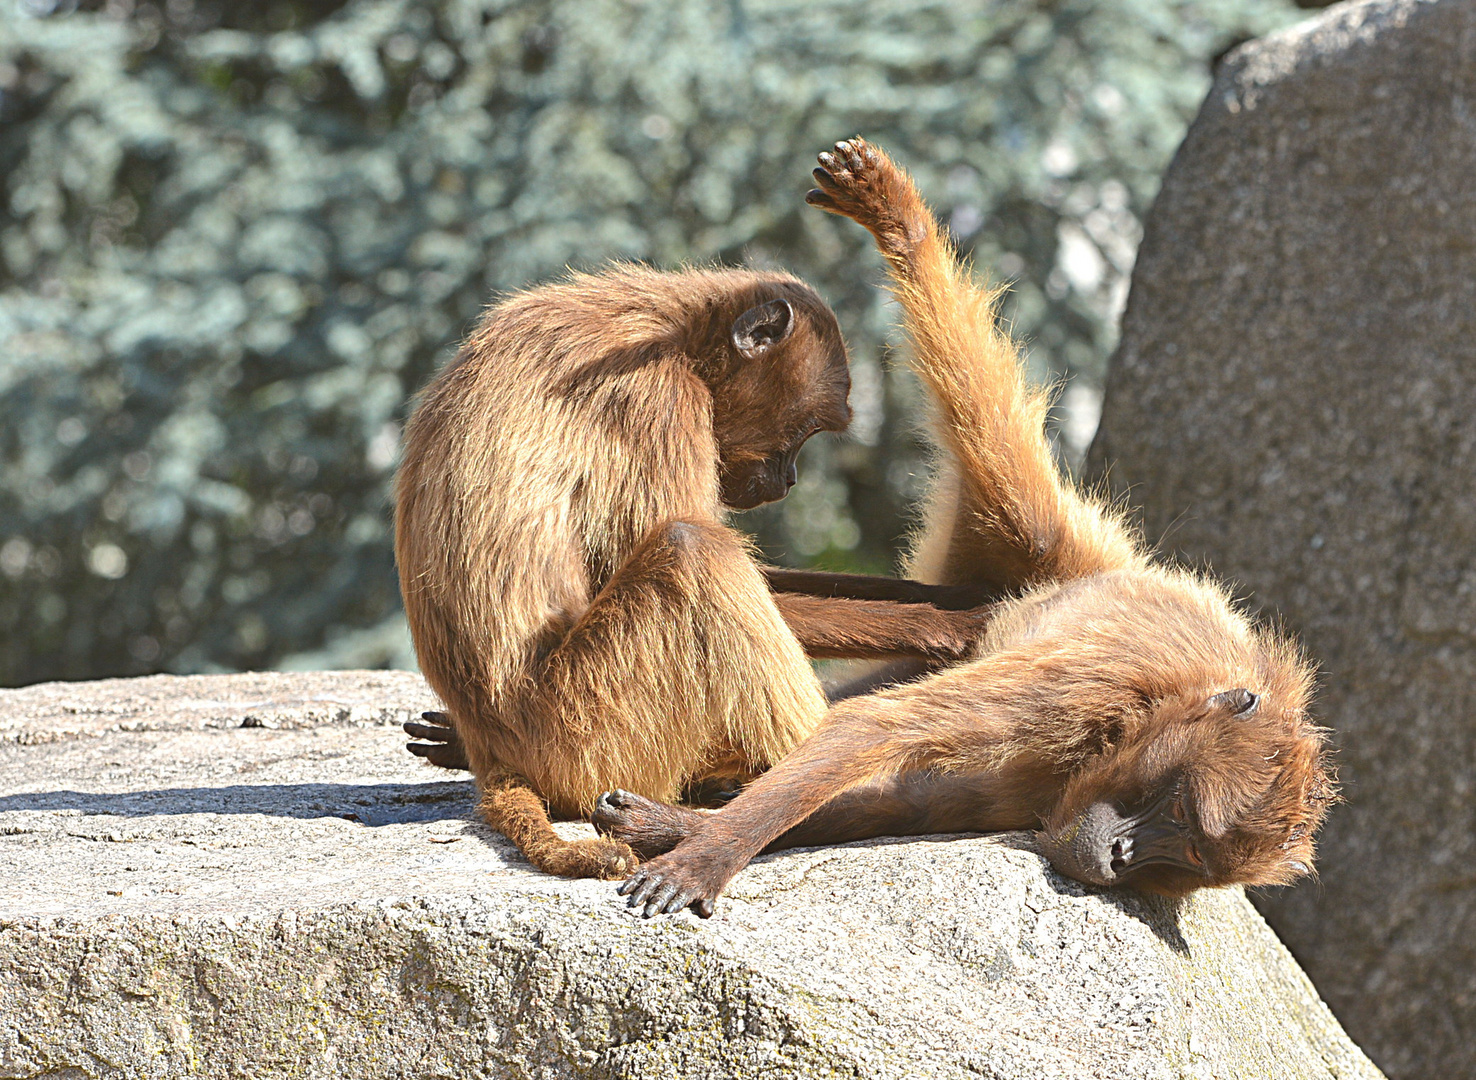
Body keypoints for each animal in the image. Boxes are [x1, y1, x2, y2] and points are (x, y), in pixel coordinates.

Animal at [395, 261, 991, 879]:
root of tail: (495, 752)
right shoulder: (655, 398)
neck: (671, 329)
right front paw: (949, 625)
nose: (789, 480)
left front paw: (956, 594)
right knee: (691, 547)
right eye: (801, 432)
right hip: (580, 731)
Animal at [602, 139, 1340, 914]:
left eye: (1190, 853)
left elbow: (908, 798)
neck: (1164, 705)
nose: (1118, 857)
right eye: (1178, 813)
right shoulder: (1097, 683)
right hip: (1028, 538)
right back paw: (901, 225)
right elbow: (879, 728)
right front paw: (709, 850)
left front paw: (676, 827)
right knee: (998, 454)